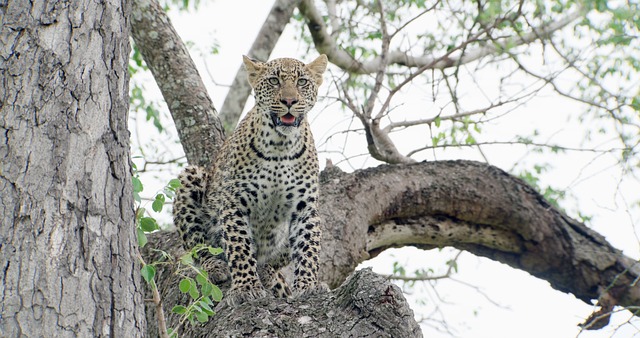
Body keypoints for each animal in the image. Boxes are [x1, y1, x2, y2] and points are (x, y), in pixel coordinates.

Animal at [172, 54, 328, 306]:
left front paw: (309, 285)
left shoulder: (305, 207)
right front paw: (246, 287)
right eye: (274, 81)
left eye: (302, 82)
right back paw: (216, 266)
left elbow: (309, 249)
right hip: (191, 177)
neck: (280, 146)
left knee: (273, 263)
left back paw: (267, 271)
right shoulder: (235, 202)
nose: (289, 101)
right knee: (198, 247)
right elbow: (239, 247)